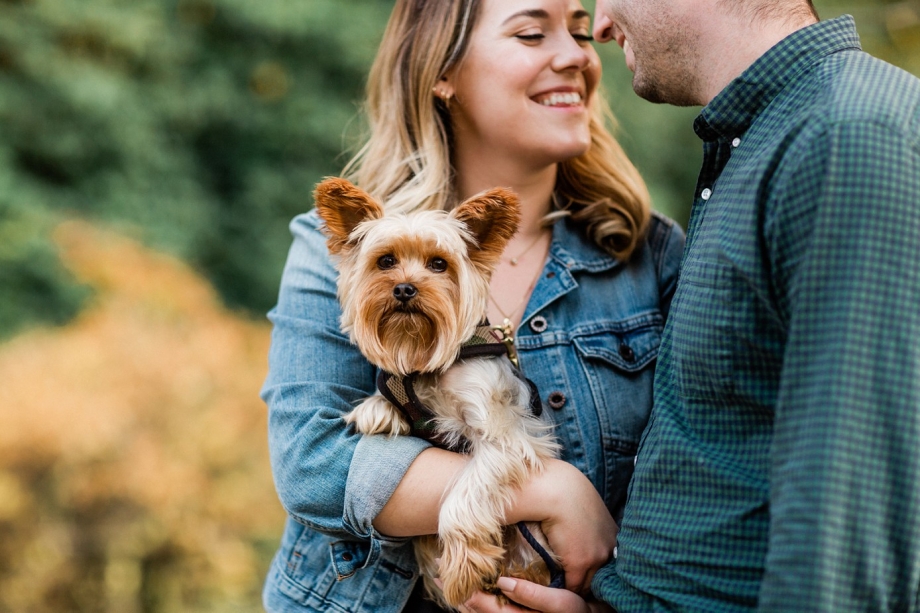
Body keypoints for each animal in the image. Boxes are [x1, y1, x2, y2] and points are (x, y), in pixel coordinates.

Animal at [314, 177, 560, 608]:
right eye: (385, 261)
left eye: (439, 265)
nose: (405, 288)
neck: (426, 364)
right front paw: (378, 409)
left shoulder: (506, 437)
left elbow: (465, 494)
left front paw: (462, 567)